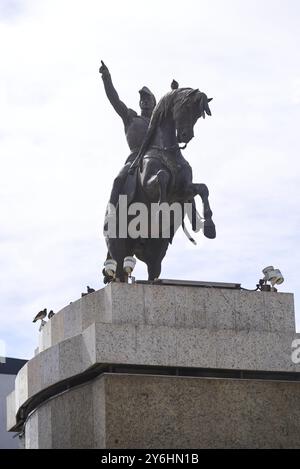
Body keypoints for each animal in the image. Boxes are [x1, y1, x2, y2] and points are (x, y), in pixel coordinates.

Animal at [103, 86, 216, 280]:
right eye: (187, 107)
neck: (167, 151)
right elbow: (162, 176)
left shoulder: (183, 190)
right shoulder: (151, 185)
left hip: (156, 250)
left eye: (198, 114)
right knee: (119, 272)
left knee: (152, 273)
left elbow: (203, 189)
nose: (186, 136)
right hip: (117, 245)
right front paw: (160, 211)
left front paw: (209, 226)